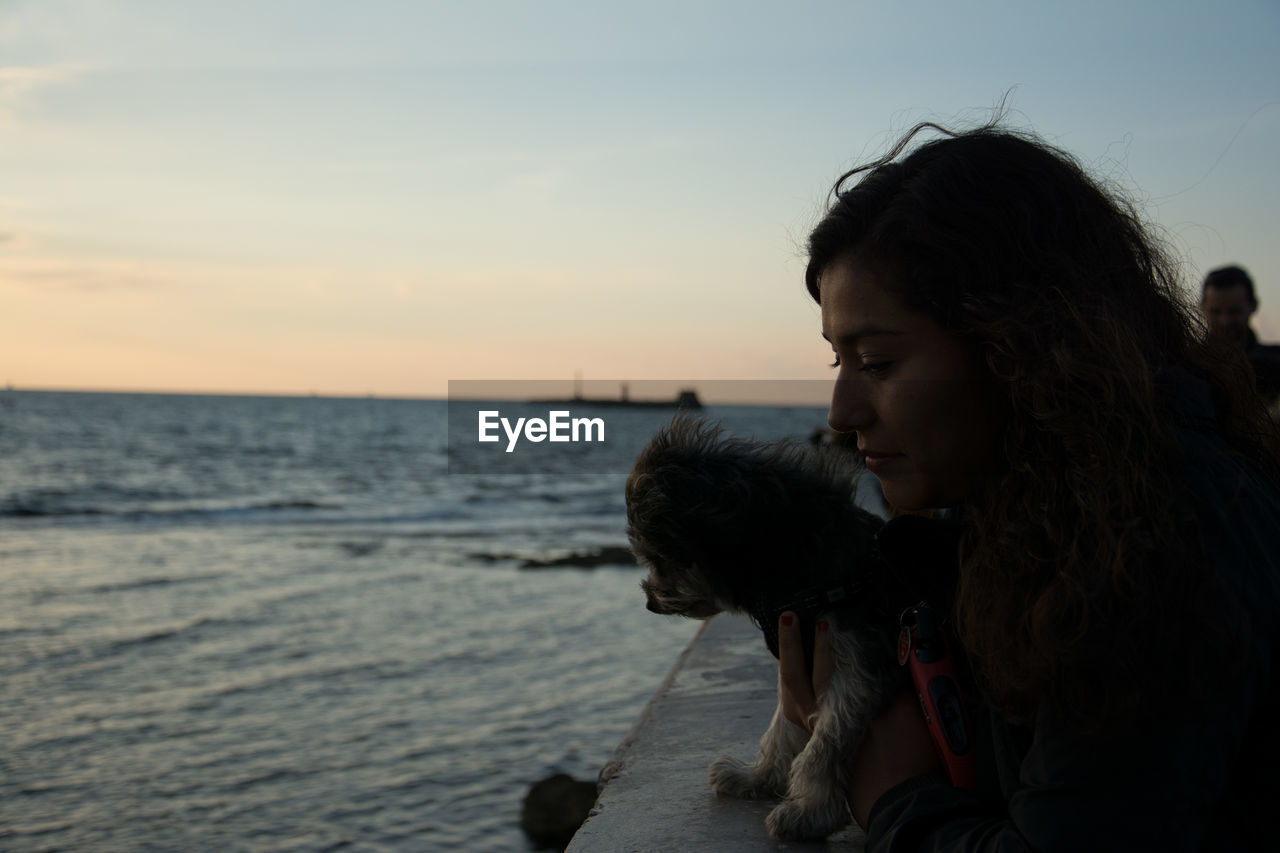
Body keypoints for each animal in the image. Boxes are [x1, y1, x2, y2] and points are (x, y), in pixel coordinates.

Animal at [622, 412, 916, 835]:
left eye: (659, 559)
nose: (649, 602)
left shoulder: (860, 662)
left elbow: (824, 742)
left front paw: (810, 811)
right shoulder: (800, 664)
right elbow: (781, 727)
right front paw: (756, 777)